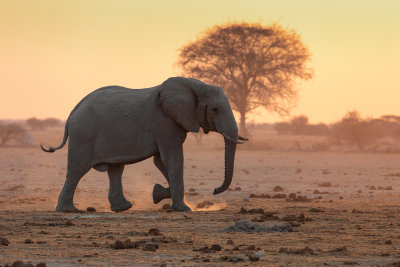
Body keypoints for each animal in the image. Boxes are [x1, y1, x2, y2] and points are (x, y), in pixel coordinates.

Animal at [41, 77, 247, 214]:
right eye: (215, 109)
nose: (215, 191)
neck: (194, 85)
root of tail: (72, 112)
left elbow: (161, 161)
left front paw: (158, 194)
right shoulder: (164, 122)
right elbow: (172, 158)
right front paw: (184, 209)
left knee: (116, 169)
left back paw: (123, 208)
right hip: (84, 134)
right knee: (77, 170)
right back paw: (68, 211)